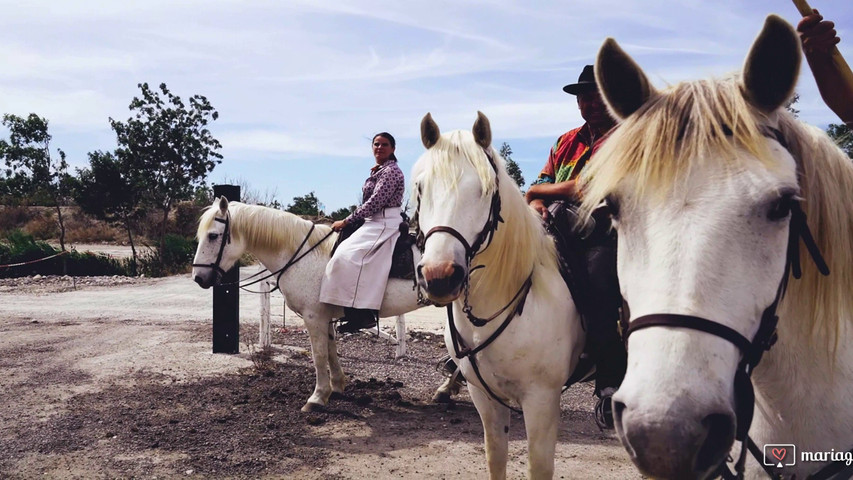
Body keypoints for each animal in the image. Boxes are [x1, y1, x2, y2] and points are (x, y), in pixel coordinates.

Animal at [192, 202, 460, 412]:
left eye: (213, 235)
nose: (198, 278)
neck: (304, 254)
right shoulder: (325, 317)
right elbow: (331, 350)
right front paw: (337, 386)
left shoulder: (313, 317)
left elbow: (319, 355)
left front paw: (317, 397)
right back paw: (446, 389)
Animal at [414, 111, 584, 476]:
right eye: (421, 187)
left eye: (485, 190)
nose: (440, 277)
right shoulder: (485, 396)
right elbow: (496, 457)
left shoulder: (542, 401)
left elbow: (539, 467)